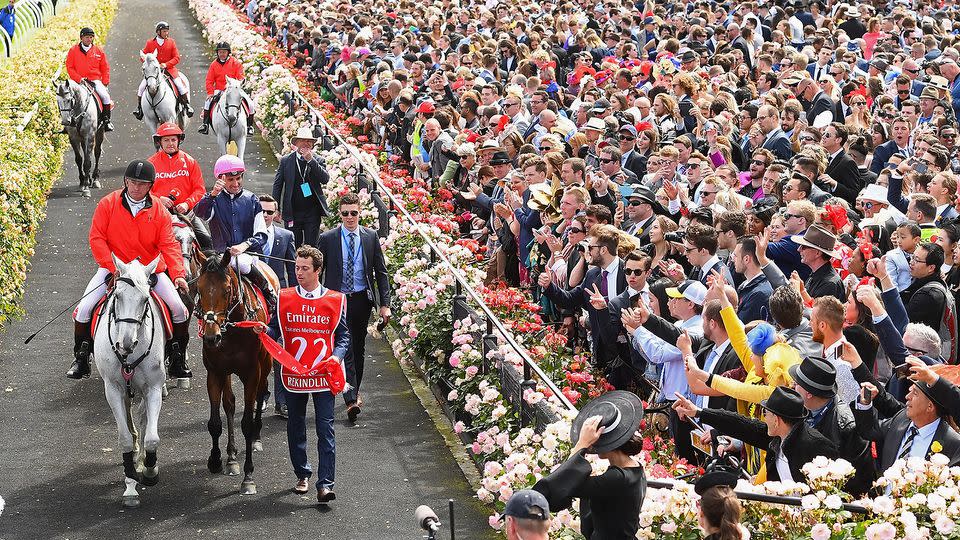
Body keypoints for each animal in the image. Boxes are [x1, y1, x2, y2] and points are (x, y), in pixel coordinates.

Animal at [94, 255, 167, 508]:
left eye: (145, 299)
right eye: (117, 296)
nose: (125, 344)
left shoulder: (153, 388)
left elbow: (153, 438)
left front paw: (150, 471)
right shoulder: (113, 389)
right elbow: (124, 438)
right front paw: (130, 487)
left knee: (143, 418)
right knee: (128, 413)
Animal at [190, 249, 274, 494]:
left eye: (227, 290)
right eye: (199, 289)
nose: (211, 336)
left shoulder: (252, 373)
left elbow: (246, 422)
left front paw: (248, 477)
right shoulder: (215, 372)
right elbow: (215, 421)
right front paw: (217, 460)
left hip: (266, 362)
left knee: (260, 394)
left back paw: (256, 438)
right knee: (229, 403)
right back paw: (231, 457)